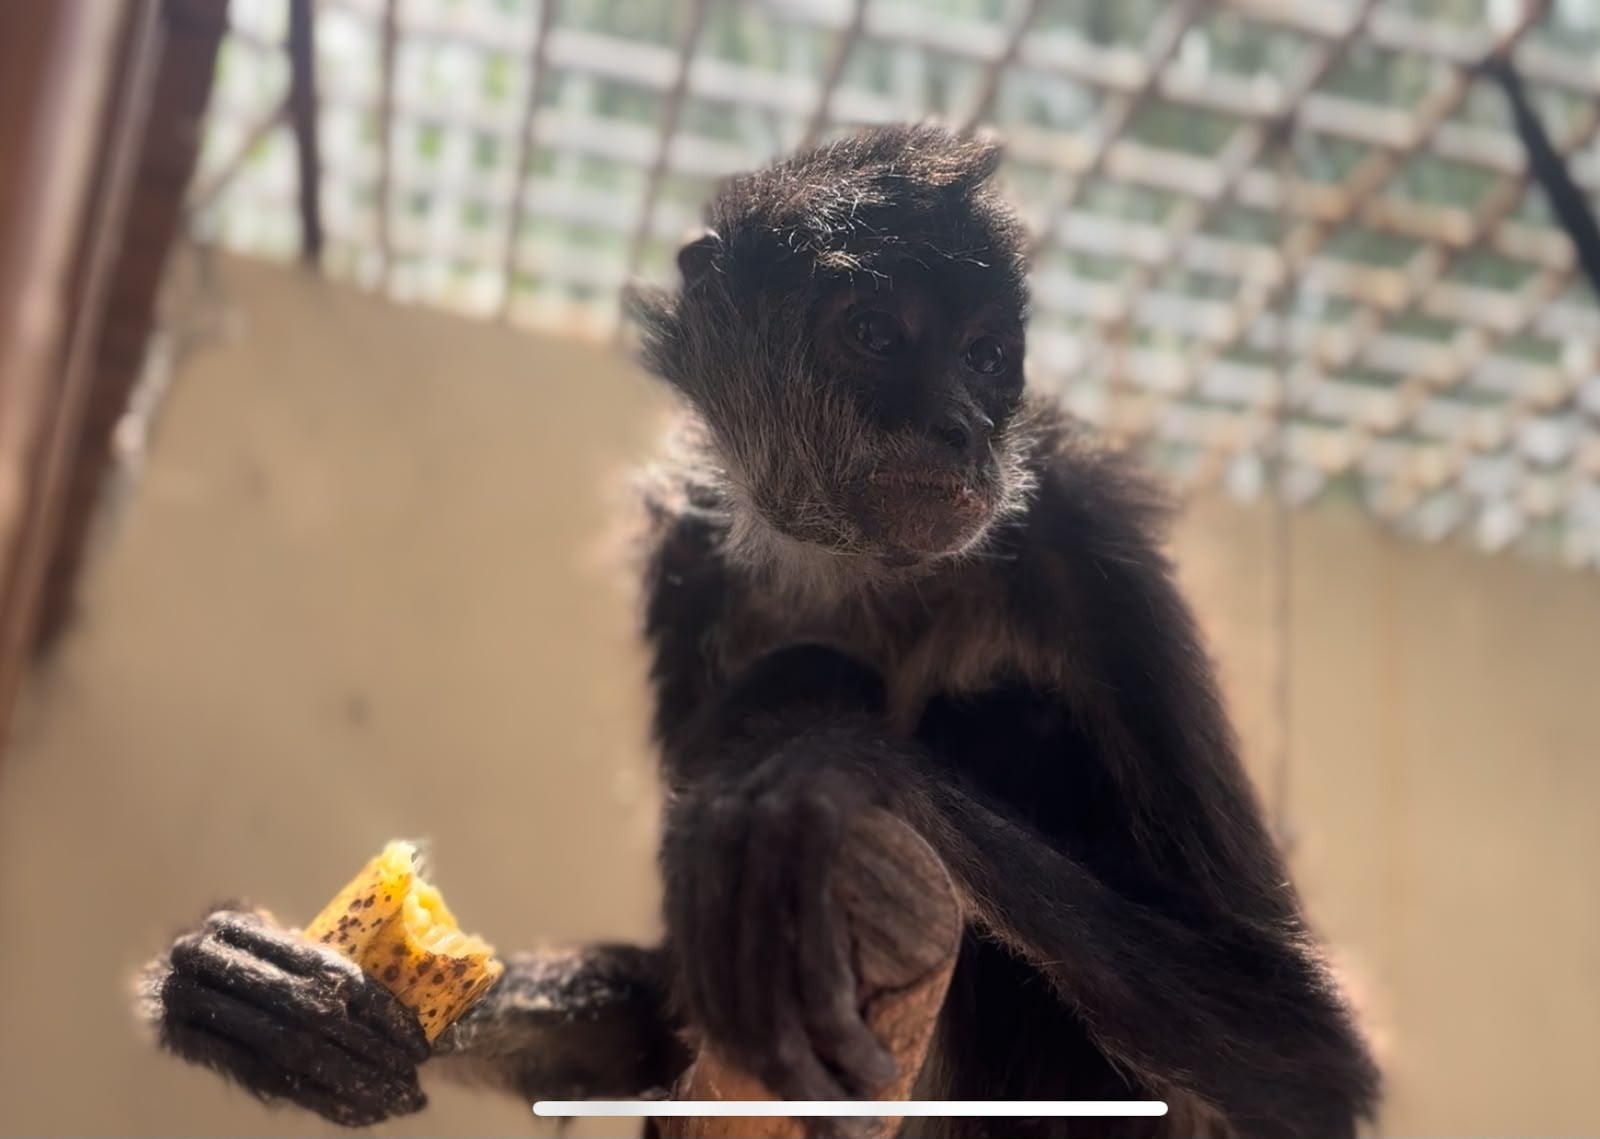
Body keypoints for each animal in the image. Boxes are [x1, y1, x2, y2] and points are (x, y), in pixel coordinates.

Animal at [137, 125, 1381, 1138]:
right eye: (875, 332)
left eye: (986, 357)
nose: (961, 423)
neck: (866, 573)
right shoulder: (684, 559)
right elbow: (660, 1004)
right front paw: (289, 1003)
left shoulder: (1090, 540)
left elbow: (1309, 1064)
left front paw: (820, 773)